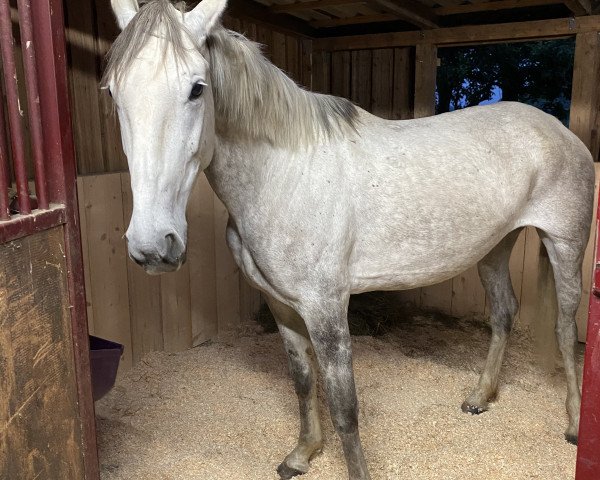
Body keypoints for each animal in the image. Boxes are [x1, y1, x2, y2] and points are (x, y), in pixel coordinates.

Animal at [105, 1, 592, 478]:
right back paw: (480, 397)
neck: (284, 175)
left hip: (566, 244)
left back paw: (573, 423)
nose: (154, 244)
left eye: (197, 89)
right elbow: (303, 382)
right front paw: (302, 454)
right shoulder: (282, 305)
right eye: (112, 92)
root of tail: (559, 130)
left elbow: (345, 406)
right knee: (504, 312)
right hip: (494, 248)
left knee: (566, 328)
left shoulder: (326, 308)